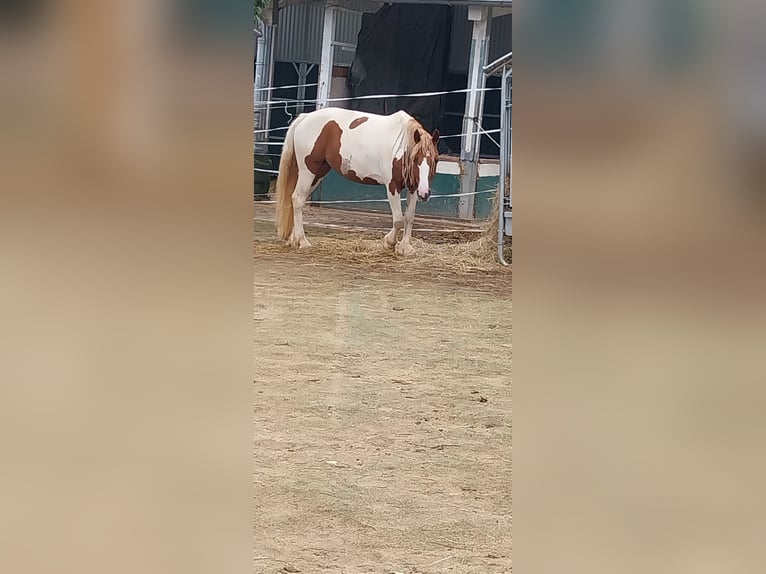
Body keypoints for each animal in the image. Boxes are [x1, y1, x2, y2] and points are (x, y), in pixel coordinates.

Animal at [274, 107, 440, 256]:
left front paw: (406, 248)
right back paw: (302, 241)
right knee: (298, 199)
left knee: (296, 199)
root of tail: (305, 117)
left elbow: (409, 217)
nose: (425, 194)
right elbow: (398, 220)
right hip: (308, 171)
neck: (400, 146)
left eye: (436, 159)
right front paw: (389, 242)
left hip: (318, 173)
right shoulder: (392, 186)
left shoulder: (414, 187)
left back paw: (293, 240)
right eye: (416, 159)